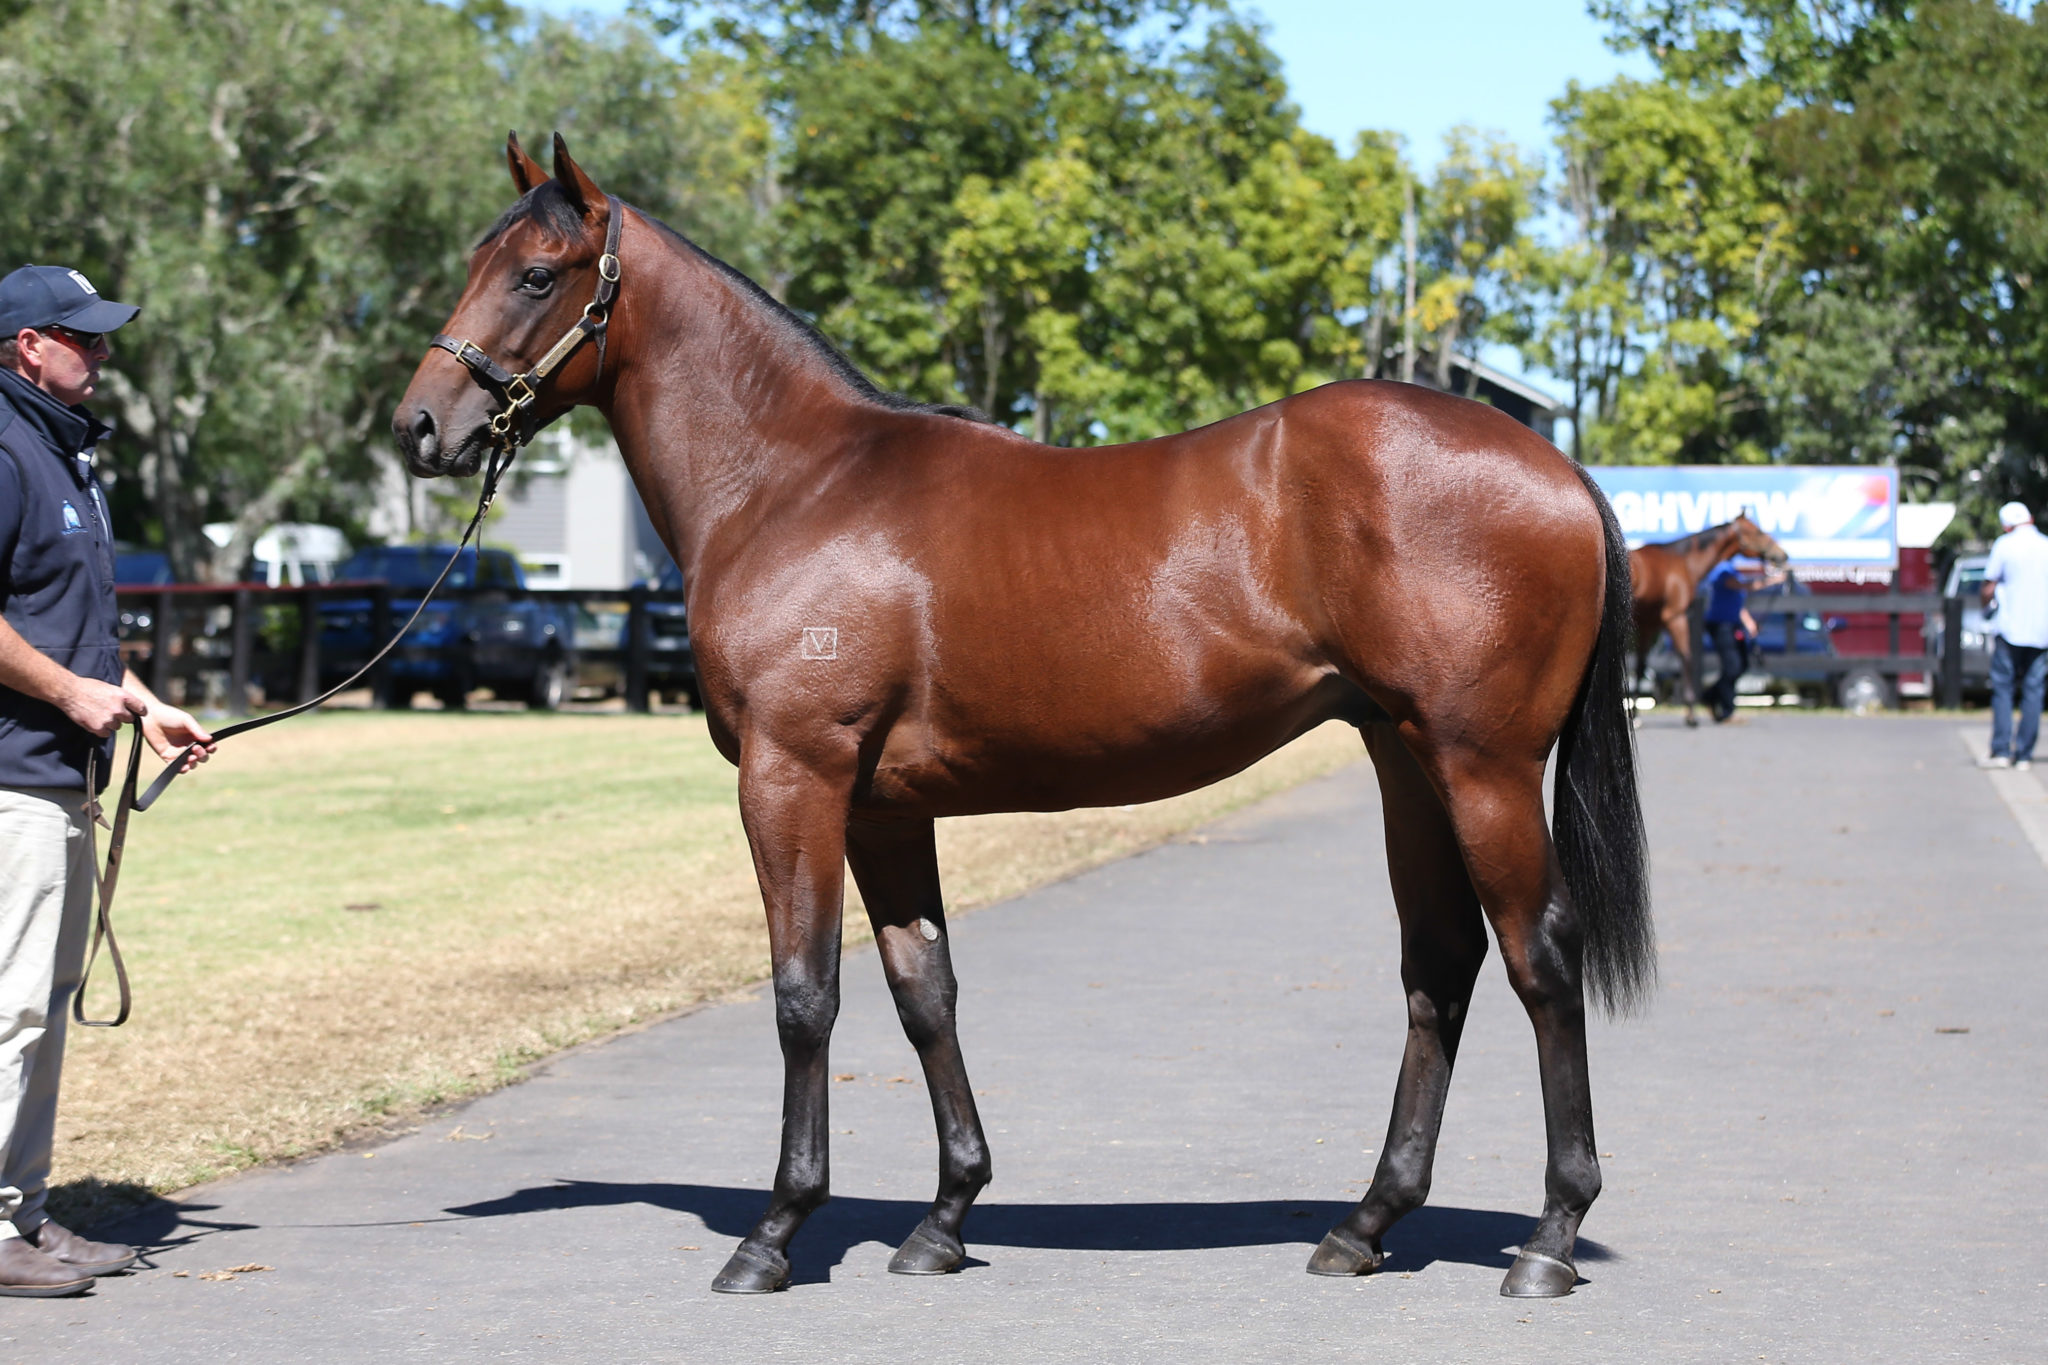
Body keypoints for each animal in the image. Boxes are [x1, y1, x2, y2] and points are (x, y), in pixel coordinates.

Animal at [395, 139, 1646, 1301]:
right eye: (473, 263)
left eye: (537, 274)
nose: (418, 427)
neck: (792, 484)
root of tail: (1558, 470)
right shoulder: (882, 810)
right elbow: (922, 992)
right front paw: (943, 1219)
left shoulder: (791, 779)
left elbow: (805, 996)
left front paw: (774, 1234)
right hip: (1403, 759)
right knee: (1439, 963)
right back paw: (1363, 1224)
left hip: (1480, 766)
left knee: (1540, 959)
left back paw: (1548, 1238)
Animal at [1630, 515, 1794, 724]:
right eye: (1757, 531)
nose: (1782, 555)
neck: (1682, 561)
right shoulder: (1676, 617)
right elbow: (1687, 658)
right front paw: (1691, 715)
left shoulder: (1649, 625)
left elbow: (1640, 666)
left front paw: (1635, 715)